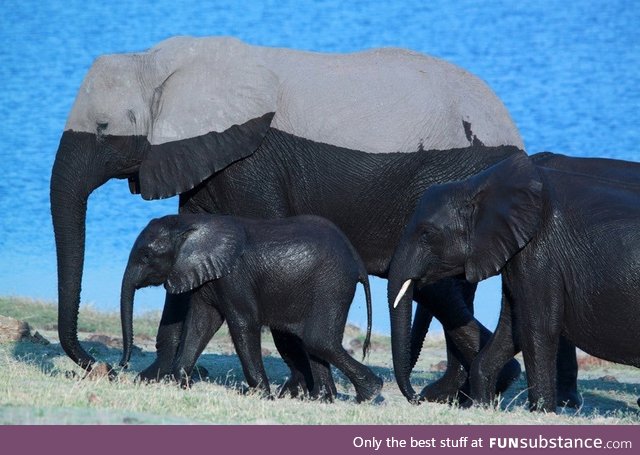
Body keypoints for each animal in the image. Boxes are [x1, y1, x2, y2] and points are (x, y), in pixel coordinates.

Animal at [50, 36, 576, 406]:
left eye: (103, 129)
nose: (104, 366)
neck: (160, 61)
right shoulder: (201, 159)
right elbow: (191, 268)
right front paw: (156, 380)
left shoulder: (251, 159)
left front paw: (297, 392)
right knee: (443, 291)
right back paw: (458, 394)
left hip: (459, 178)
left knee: (439, 288)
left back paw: (455, 394)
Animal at [388, 153, 640, 414]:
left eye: (426, 233)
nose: (418, 397)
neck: (477, 185)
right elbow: (513, 328)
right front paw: (481, 407)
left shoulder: (539, 253)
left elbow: (537, 327)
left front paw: (541, 412)